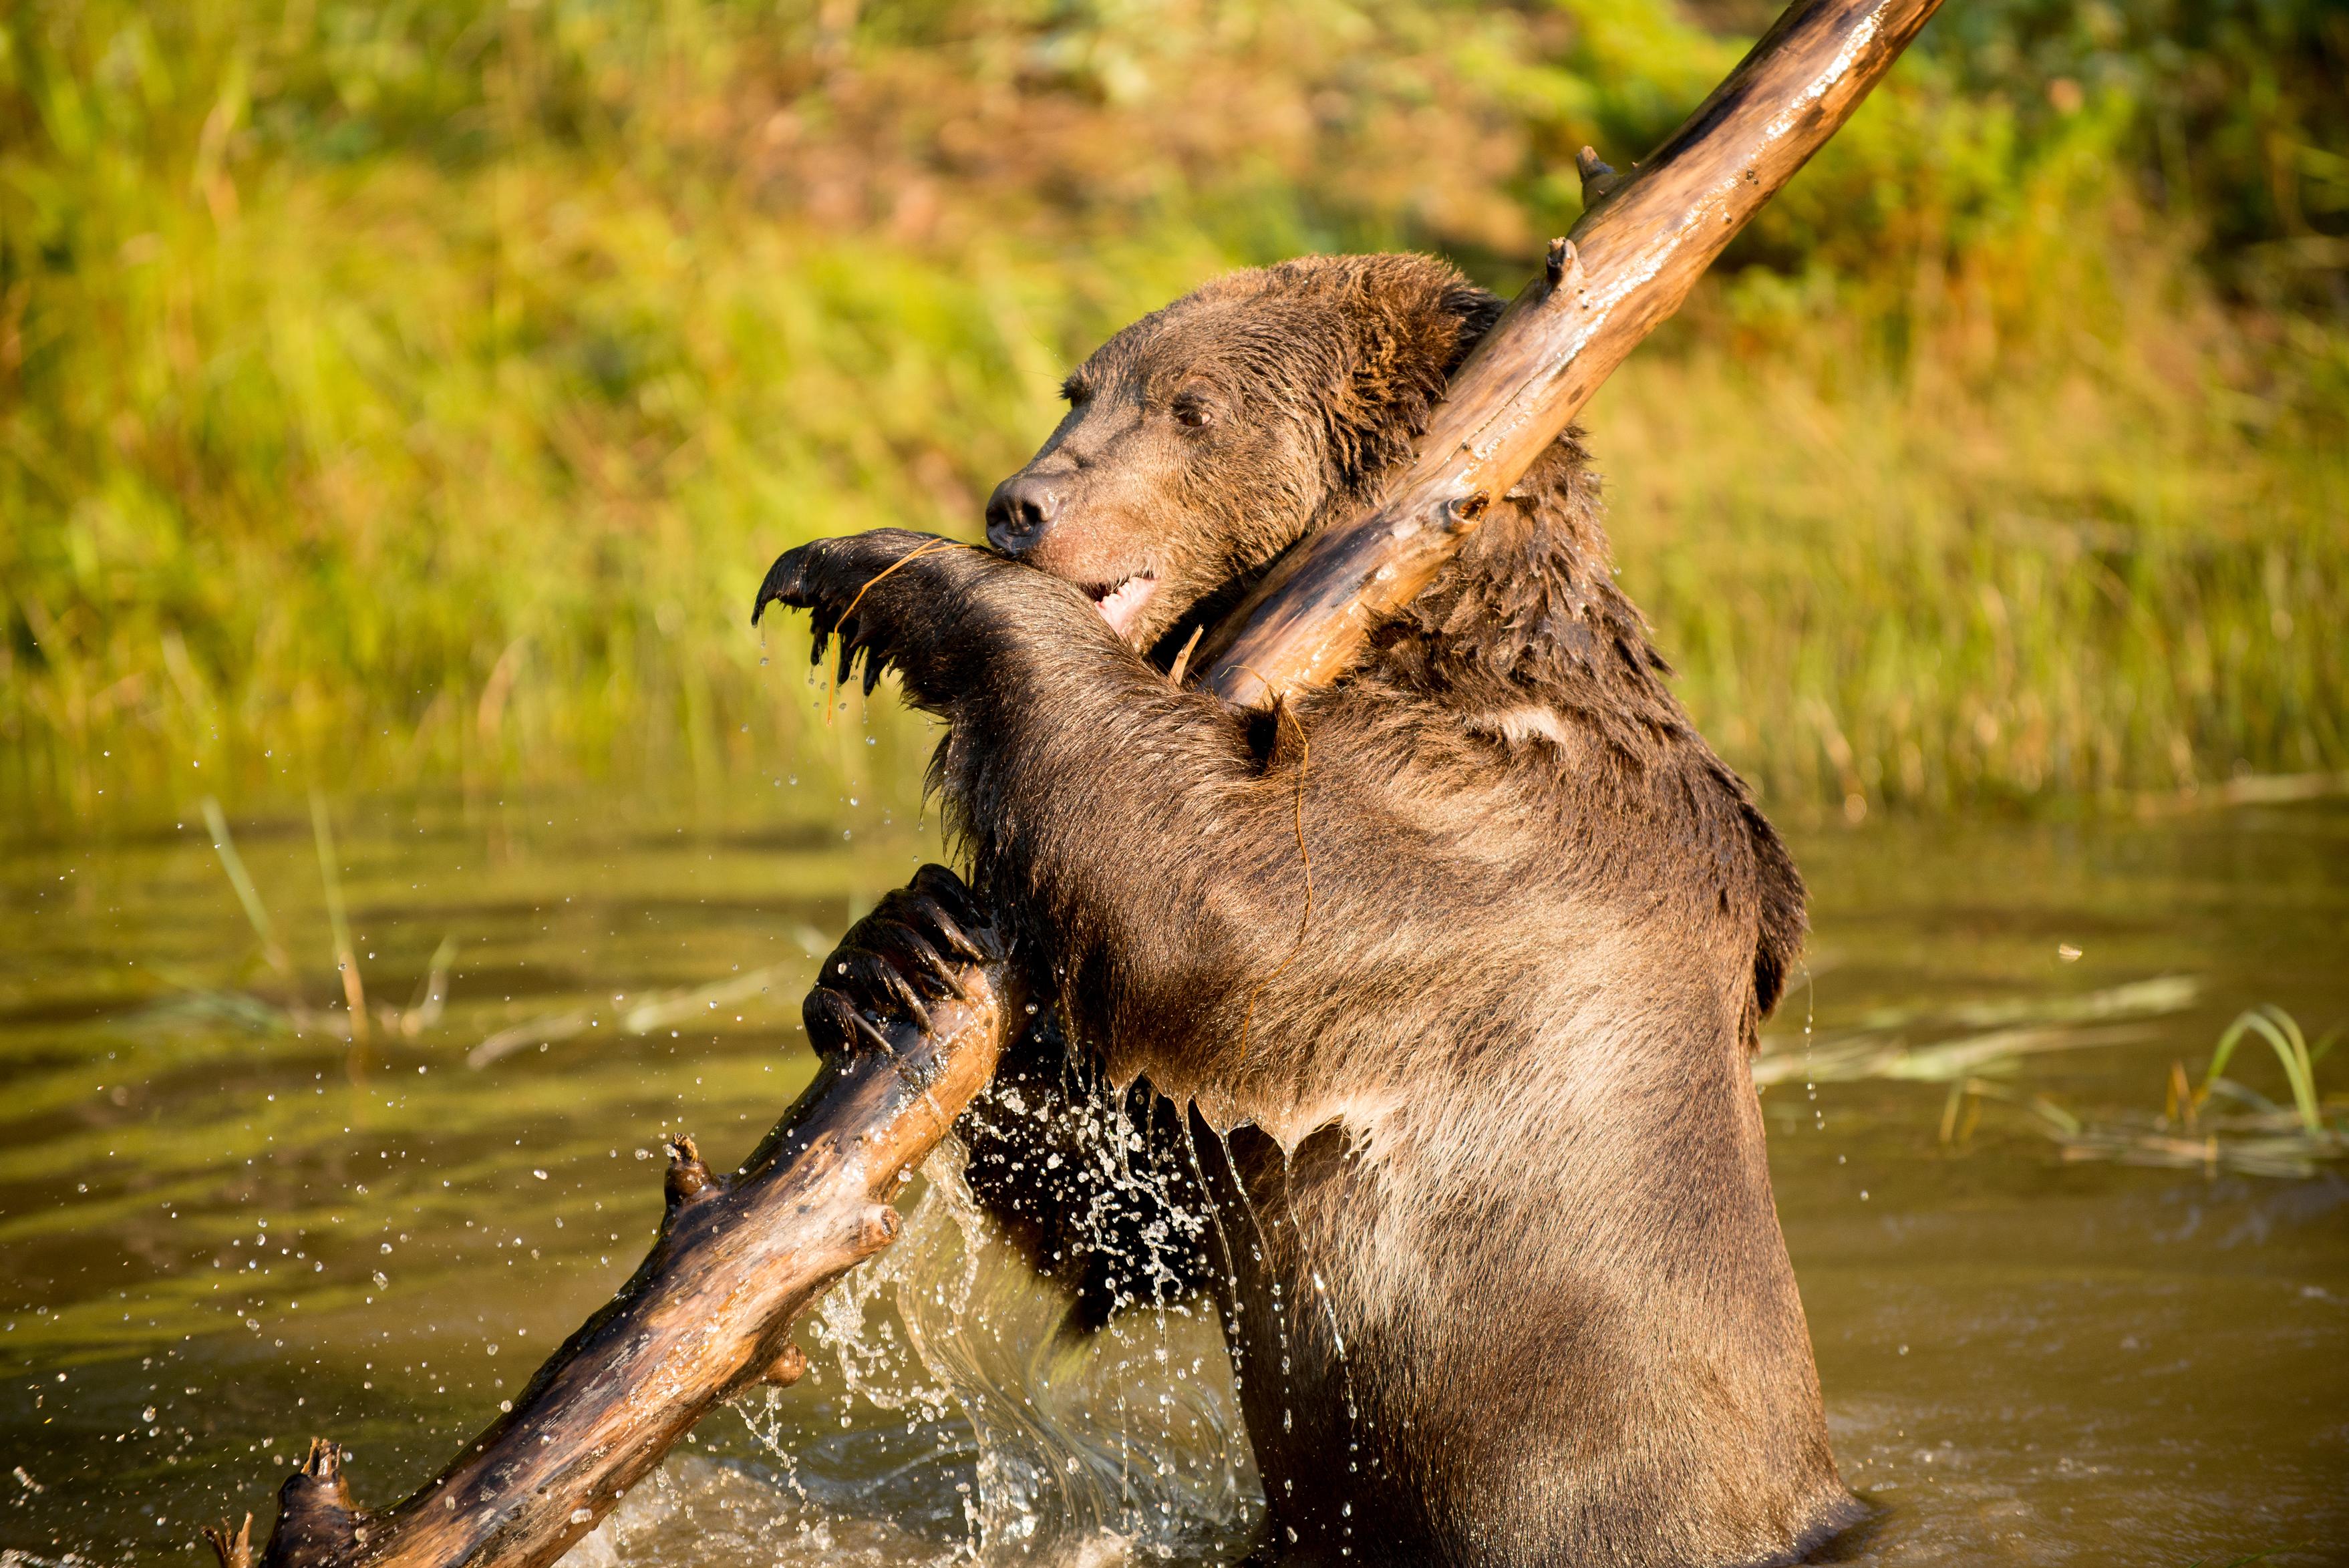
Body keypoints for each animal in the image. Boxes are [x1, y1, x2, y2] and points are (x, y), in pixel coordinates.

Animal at [761, 251, 1860, 1558]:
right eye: (1079, 387)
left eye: (1189, 407)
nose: (1019, 502)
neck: (1420, 631)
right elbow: (1136, 1213)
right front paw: (895, 950)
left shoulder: (1479, 838)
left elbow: (1211, 896)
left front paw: (866, 570)